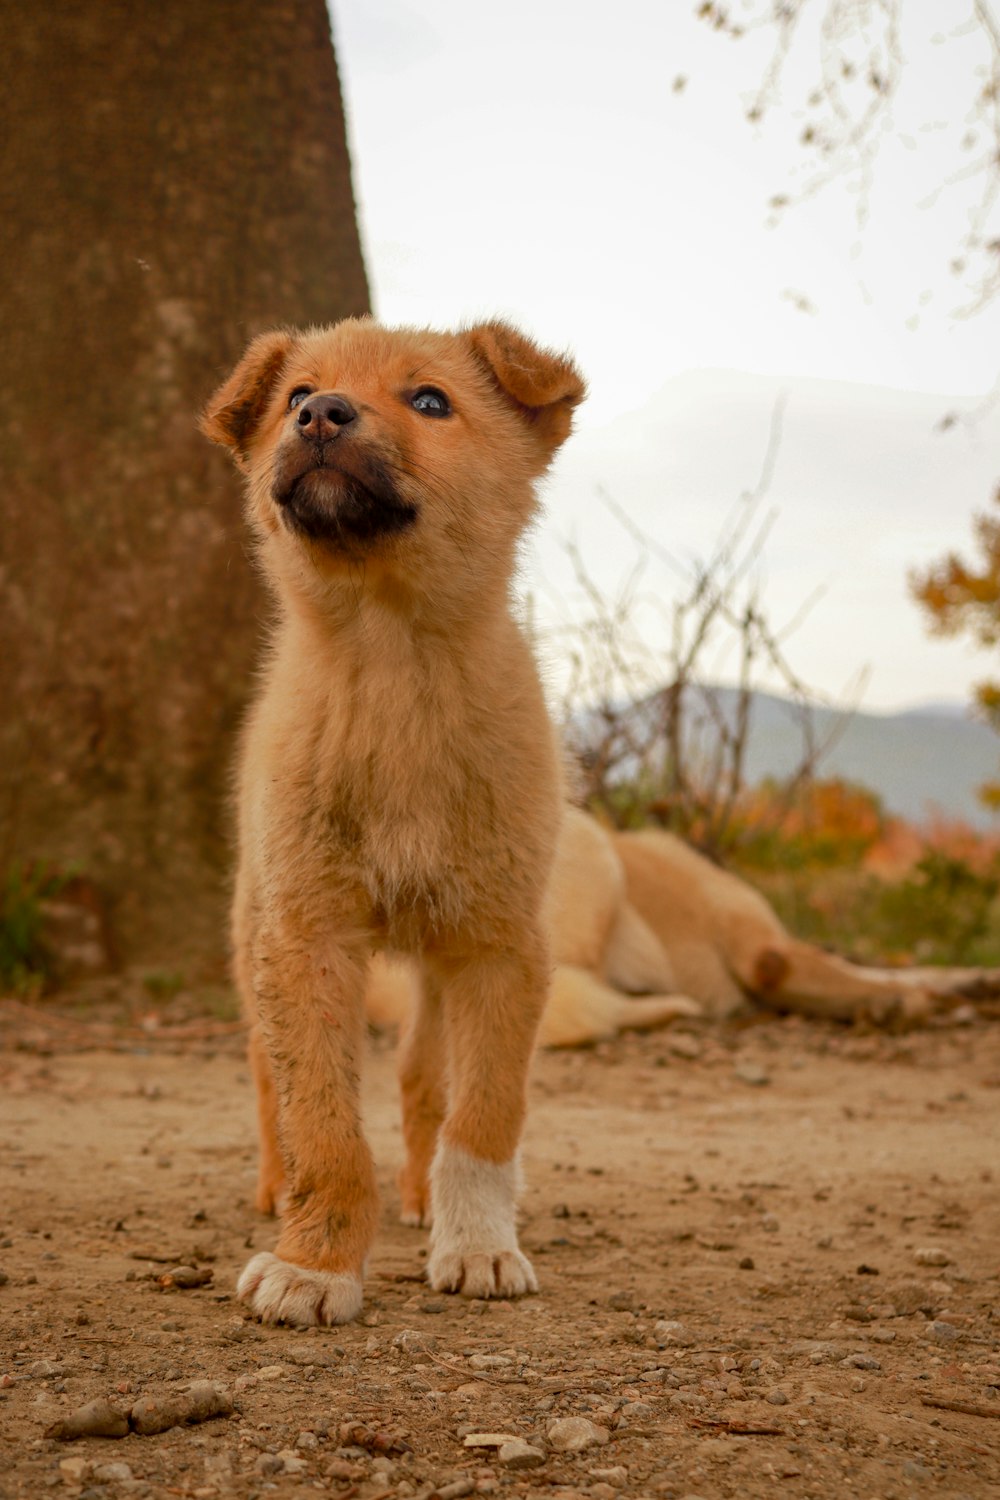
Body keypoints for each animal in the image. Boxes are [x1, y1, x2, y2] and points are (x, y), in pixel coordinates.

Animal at [199, 316, 581, 1326]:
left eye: (431, 400)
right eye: (298, 393)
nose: (322, 416)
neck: (394, 665)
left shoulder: (499, 947)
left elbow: (481, 1118)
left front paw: (478, 1244)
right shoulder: (307, 939)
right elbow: (324, 1128)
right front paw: (314, 1265)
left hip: (439, 963)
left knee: (422, 1080)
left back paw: (419, 1198)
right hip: (250, 930)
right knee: (263, 1072)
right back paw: (273, 1187)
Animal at [370, 810, 1000, 1044]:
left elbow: (905, 970)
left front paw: (968, 985)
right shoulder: (764, 951)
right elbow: (853, 974)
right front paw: (901, 1003)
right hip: (590, 847)